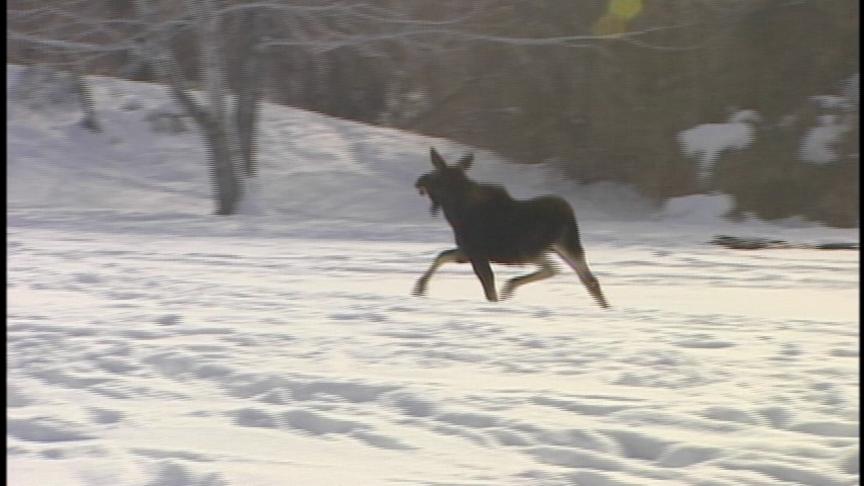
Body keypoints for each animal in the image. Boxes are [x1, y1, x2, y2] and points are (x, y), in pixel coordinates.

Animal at [412, 147, 609, 308]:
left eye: (435, 173)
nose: (418, 181)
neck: (454, 211)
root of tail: (566, 215)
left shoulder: (476, 253)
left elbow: (489, 290)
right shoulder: (466, 252)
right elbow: (442, 256)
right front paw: (419, 287)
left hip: (530, 248)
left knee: (553, 269)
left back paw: (510, 286)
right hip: (565, 245)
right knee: (589, 279)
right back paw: (606, 308)